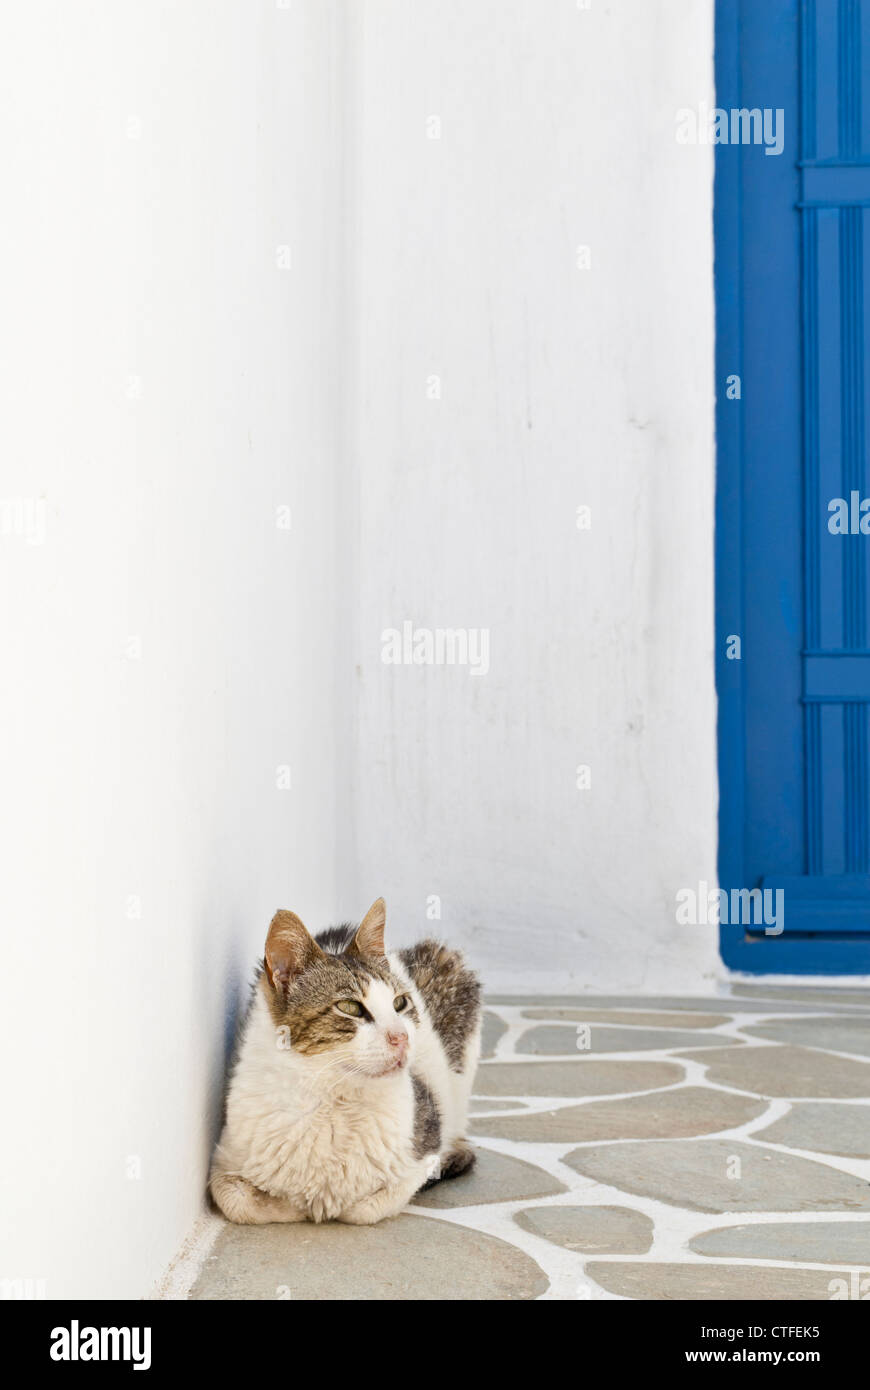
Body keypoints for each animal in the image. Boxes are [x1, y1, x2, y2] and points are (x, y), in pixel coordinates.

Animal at [209, 895, 480, 1223]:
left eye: (400, 1003)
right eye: (350, 1007)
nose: (401, 1036)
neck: (332, 1101)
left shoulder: (422, 1147)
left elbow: (365, 1207)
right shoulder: (223, 1157)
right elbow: (236, 1201)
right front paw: (292, 1204)